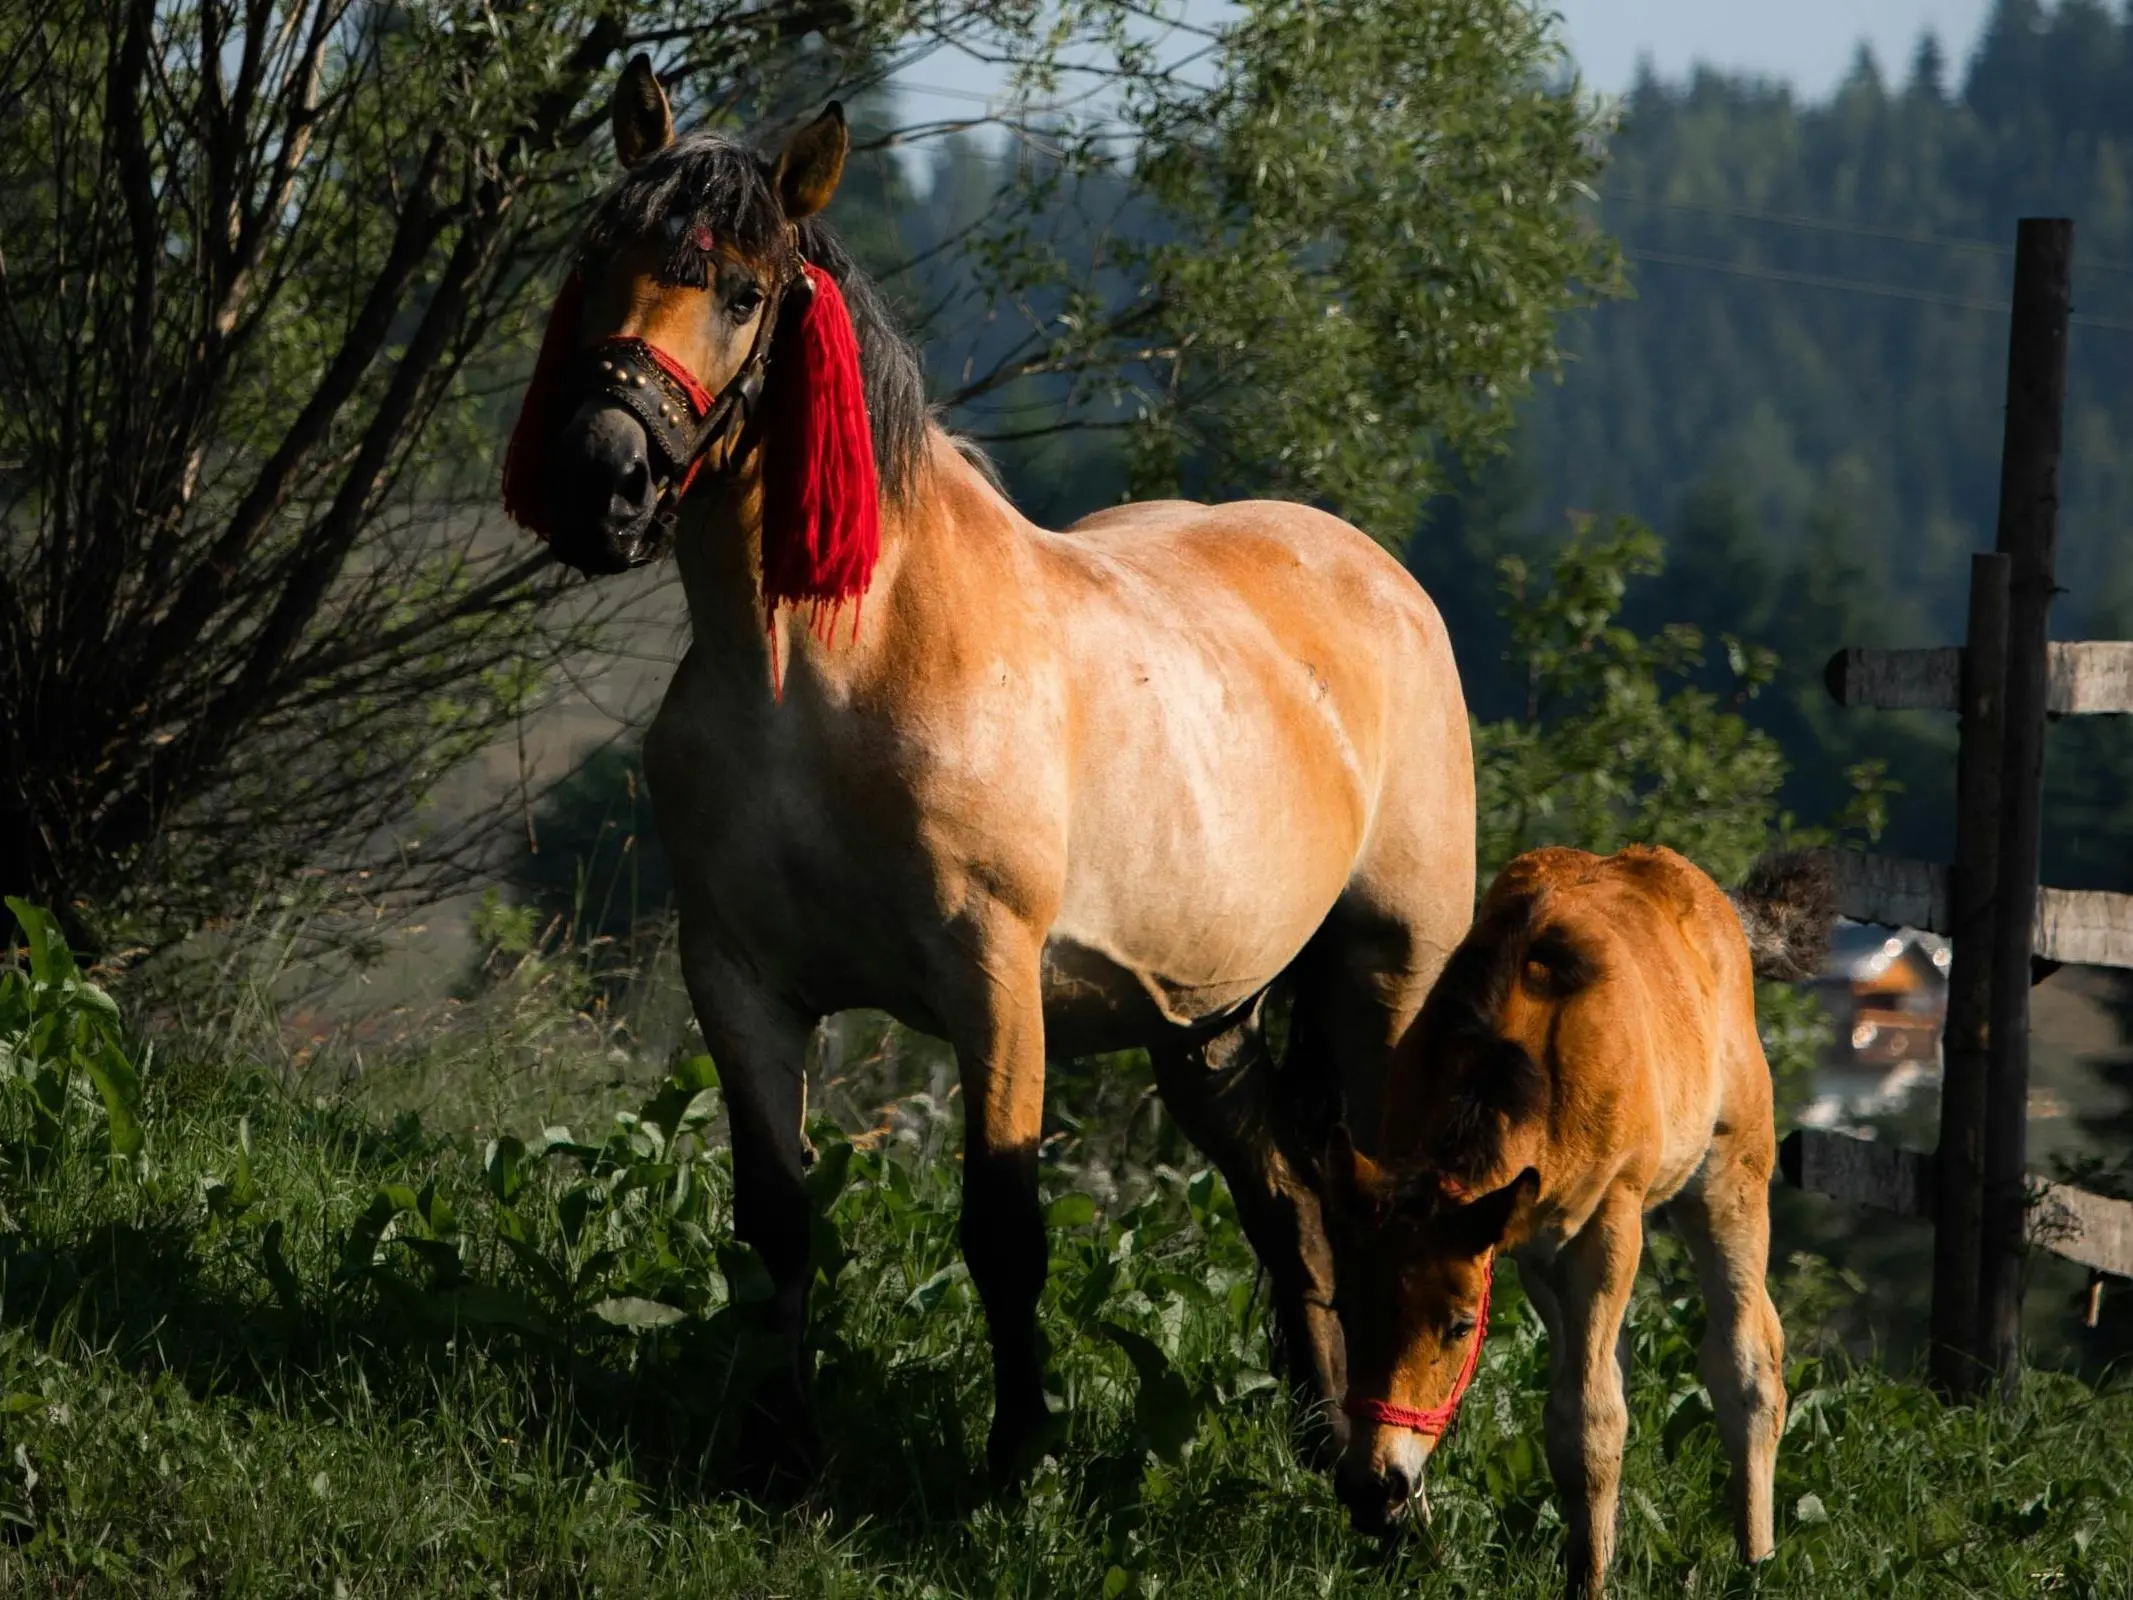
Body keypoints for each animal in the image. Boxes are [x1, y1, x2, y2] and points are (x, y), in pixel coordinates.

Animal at [505, 62, 1476, 1493]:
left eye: (740, 289)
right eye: (597, 259)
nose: (600, 479)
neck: (820, 673)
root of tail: (1385, 579)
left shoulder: (993, 977)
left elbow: (1003, 1224)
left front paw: (1013, 1463)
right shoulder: (737, 978)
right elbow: (776, 1218)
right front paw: (778, 1446)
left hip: (1384, 985)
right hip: (1205, 1021)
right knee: (1290, 1205)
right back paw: (1314, 1437)